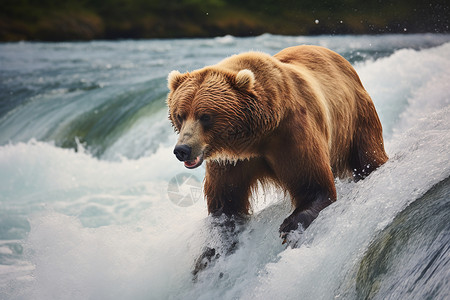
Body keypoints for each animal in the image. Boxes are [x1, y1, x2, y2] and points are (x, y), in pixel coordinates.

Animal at [165, 44, 386, 241]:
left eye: (205, 116)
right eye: (180, 115)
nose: (182, 149)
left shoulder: (291, 133)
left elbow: (314, 184)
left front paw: (289, 225)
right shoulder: (229, 161)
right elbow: (226, 205)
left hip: (356, 116)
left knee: (367, 153)